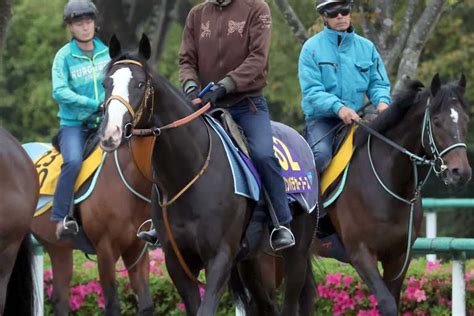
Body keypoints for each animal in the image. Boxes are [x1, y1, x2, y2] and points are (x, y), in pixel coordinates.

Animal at [31, 142, 154, 314]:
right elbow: (112, 304)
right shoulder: (105, 248)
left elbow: (146, 303)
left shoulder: (136, 247)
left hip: (58, 248)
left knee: (60, 297)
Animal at [97, 33, 316, 314]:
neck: (187, 174)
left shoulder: (220, 257)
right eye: (106, 83)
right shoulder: (178, 261)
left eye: (139, 83)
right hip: (252, 260)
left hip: (296, 252)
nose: (110, 133)